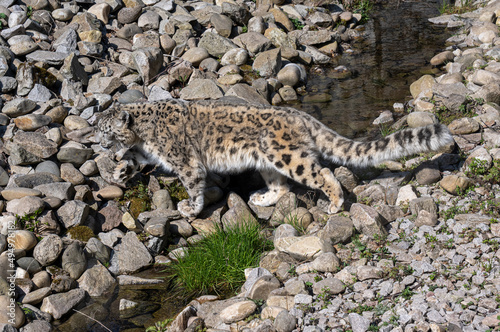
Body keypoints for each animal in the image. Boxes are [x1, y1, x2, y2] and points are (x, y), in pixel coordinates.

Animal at [94, 98, 454, 218]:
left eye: (105, 128)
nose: (96, 141)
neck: (144, 137)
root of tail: (300, 115)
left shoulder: (185, 161)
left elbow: (193, 184)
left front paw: (189, 209)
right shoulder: (143, 152)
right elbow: (132, 159)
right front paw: (118, 173)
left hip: (288, 156)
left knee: (322, 173)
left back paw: (336, 202)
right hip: (267, 160)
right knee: (281, 186)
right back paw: (261, 198)